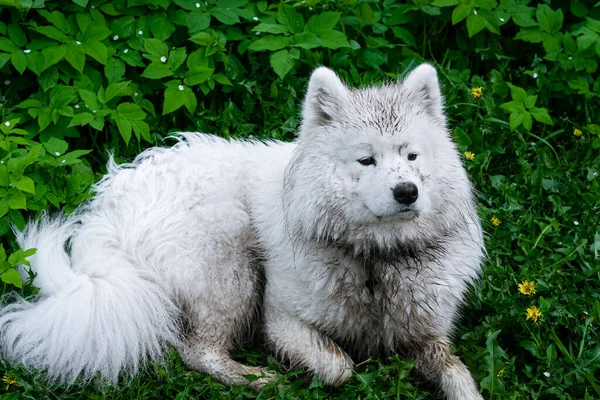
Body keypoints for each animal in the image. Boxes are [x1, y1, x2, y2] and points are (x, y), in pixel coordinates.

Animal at [0, 64, 482, 398]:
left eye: (412, 156)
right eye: (366, 160)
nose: (407, 191)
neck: (375, 261)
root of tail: (109, 215)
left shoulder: (427, 333)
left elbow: (459, 374)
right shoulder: (282, 321)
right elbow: (338, 366)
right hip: (231, 267)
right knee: (200, 353)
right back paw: (260, 379)